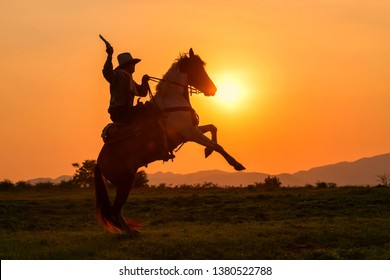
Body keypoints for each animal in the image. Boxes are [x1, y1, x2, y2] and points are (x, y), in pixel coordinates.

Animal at [95, 48, 244, 234]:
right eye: (197, 69)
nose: (213, 89)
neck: (172, 102)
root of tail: (99, 162)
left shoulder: (190, 131)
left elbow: (212, 127)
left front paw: (207, 151)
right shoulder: (189, 133)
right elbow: (218, 145)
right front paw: (236, 164)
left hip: (124, 183)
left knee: (118, 210)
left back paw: (131, 231)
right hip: (125, 181)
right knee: (115, 211)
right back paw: (129, 233)